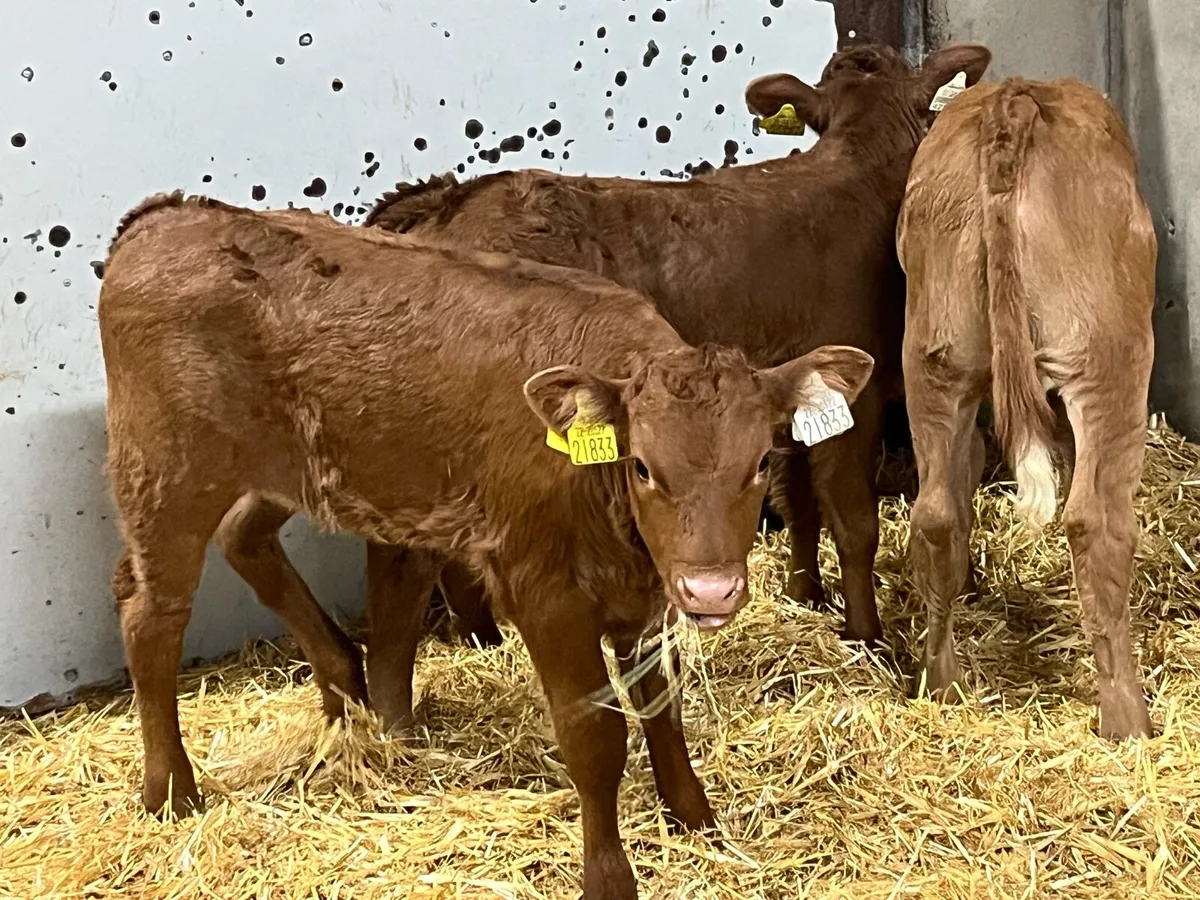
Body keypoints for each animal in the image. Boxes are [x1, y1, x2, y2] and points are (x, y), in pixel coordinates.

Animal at [99, 191, 873, 899]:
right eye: (643, 467)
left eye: (761, 462)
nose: (710, 589)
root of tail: (166, 216)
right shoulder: (545, 592)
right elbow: (596, 738)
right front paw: (609, 877)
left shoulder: (645, 593)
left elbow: (663, 709)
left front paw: (695, 819)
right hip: (166, 471)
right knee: (150, 612)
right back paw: (171, 791)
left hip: (286, 466)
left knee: (242, 538)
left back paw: (349, 693)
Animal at [896, 77, 1157, 740]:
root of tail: (1014, 100)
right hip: (1109, 358)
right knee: (1095, 521)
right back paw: (1128, 719)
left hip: (935, 358)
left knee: (937, 513)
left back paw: (941, 684)